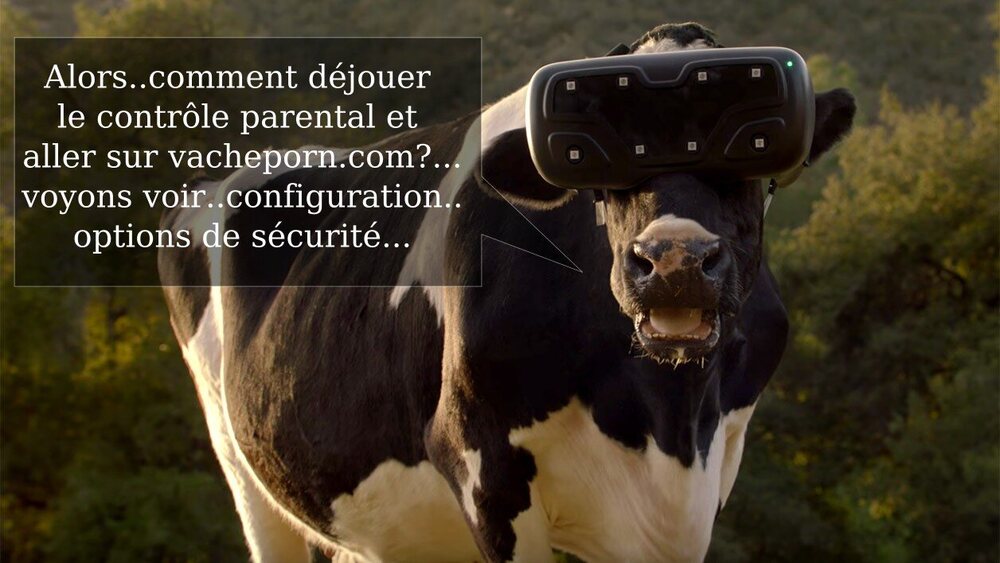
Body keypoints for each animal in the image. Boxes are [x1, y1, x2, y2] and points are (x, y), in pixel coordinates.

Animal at [159, 22, 855, 563]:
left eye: (755, 148)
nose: (674, 260)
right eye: (597, 163)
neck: (668, 422)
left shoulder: (704, 481)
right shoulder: (480, 466)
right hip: (245, 473)